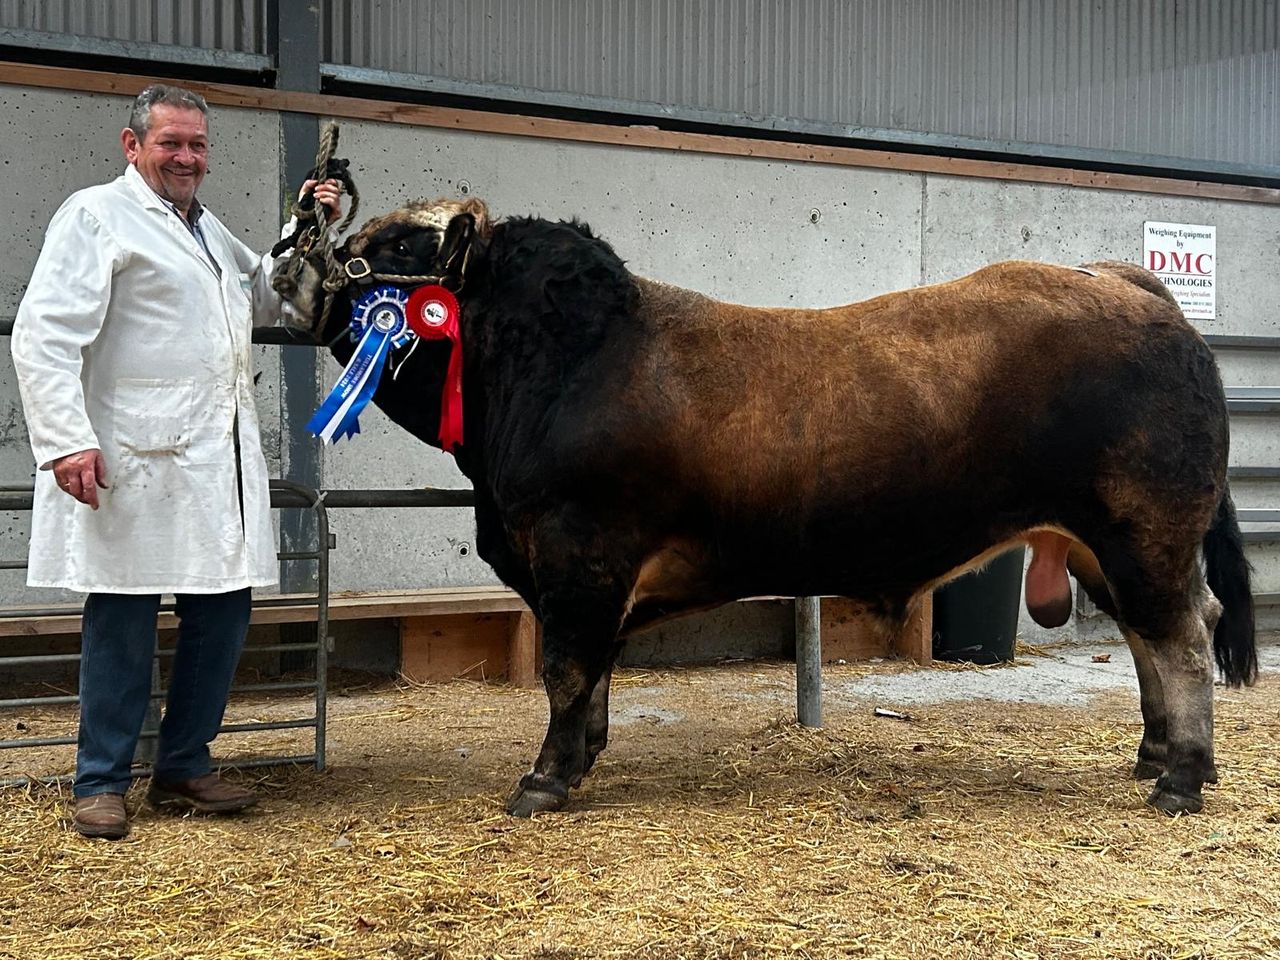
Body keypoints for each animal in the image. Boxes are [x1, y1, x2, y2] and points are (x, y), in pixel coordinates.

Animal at [275, 196, 1257, 818]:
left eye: (398, 250)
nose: (292, 258)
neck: (565, 363)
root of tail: (1123, 282)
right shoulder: (583, 577)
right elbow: (591, 676)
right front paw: (583, 760)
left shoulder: (577, 556)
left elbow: (566, 670)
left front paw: (545, 781)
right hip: (1103, 543)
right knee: (1150, 637)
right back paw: (1156, 754)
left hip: (1145, 531)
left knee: (1184, 637)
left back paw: (1182, 779)